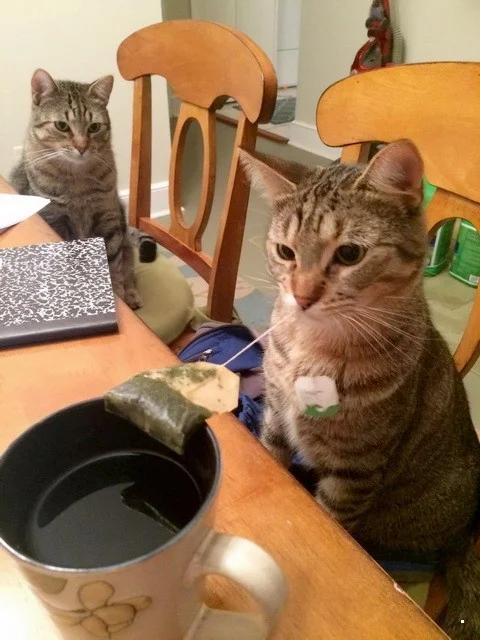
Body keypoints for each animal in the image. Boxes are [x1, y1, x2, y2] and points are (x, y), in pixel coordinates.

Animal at [10, 68, 142, 310]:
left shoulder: (108, 218)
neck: (78, 181)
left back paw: (132, 296)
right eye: (62, 126)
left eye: (94, 127)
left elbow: (113, 264)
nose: (82, 147)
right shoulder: (56, 221)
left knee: (128, 270)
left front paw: (117, 294)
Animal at [240, 140, 480, 640]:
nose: (302, 296)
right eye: (285, 251)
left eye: (350, 254)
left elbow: (331, 519)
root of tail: (465, 533)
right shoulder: (274, 419)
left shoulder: (354, 471)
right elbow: (271, 456)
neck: (313, 349)